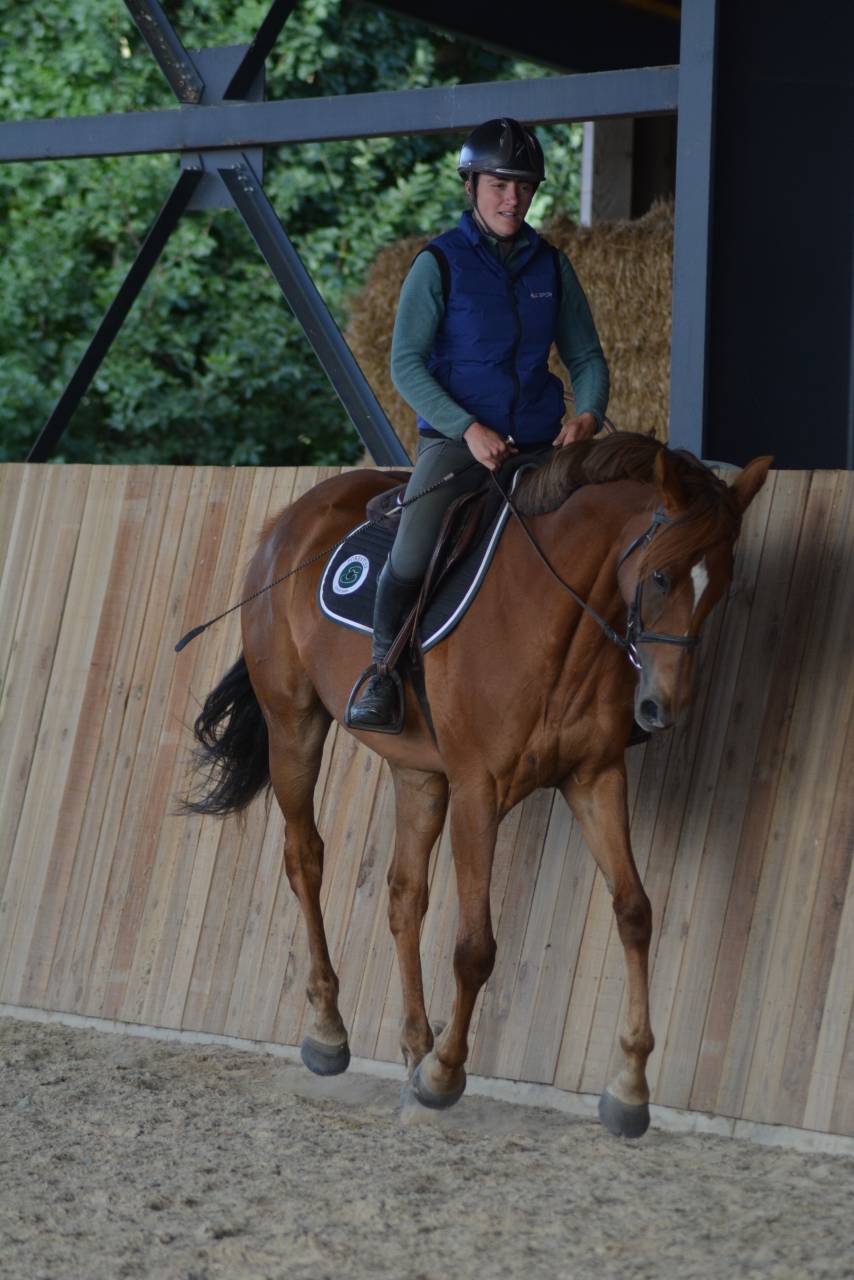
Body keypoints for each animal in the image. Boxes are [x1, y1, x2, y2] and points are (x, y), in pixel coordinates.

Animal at [184, 432, 772, 1138]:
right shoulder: (478, 789)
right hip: (292, 725)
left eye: (724, 585)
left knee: (405, 895)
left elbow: (634, 912)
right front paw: (444, 1075)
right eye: (660, 575)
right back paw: (331, 1033)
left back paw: (413, 1047)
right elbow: (475, 946)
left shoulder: (594, 778)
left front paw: (629, 1088)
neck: (556, 622)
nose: (662, 709)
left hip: (417, 770)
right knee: (306, 859)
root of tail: (290, 521)